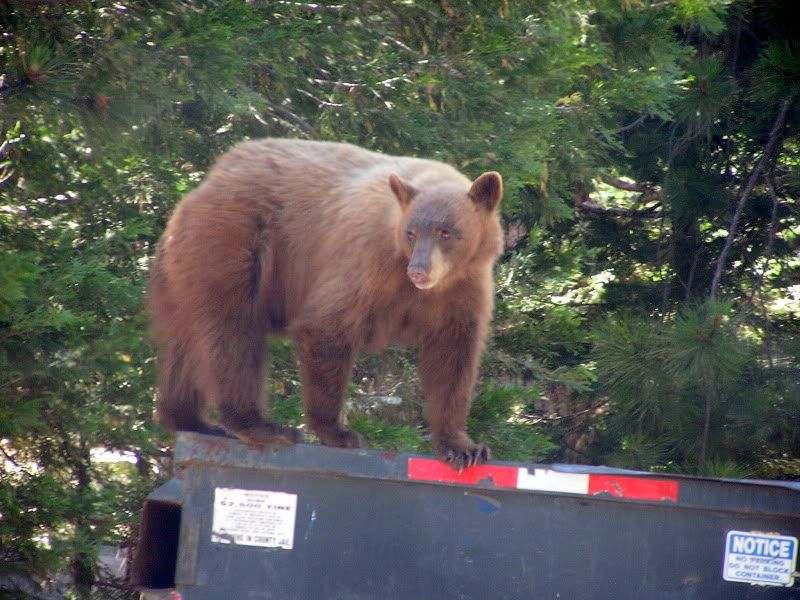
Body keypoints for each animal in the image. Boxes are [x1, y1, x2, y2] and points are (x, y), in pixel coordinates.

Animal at [148, 138, 503, 468]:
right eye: (411, 233)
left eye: (446, 231)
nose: (418, 270)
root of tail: (201, 187)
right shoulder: (367, 265)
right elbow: (327, 326)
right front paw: (338, 432)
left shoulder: (464, 290)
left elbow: (452, 358)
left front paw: (463, 446)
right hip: (231, 246)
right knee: (233, 335)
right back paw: (260, 426)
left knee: (186, 345)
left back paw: (189, 419)